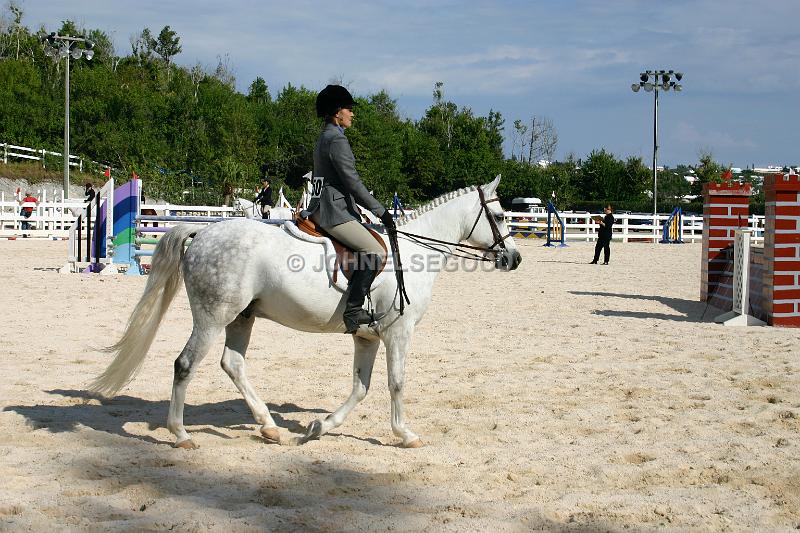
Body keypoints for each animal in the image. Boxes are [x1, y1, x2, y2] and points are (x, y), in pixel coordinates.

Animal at [90, 177, 520, 446]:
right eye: (499, 217)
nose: (513, 258)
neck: (414, 252)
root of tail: (204, 232)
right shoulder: (399, 332)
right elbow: (396, 383)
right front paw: (406, 435)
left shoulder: (367, 336)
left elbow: (360, 388)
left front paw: (319, 426)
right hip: (212, 318)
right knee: (185, 364)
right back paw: (180, 435)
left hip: (242, 318)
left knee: (233, 364)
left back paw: (269, 427)